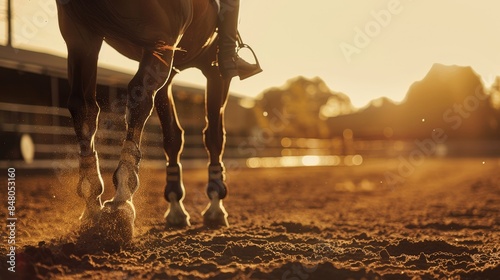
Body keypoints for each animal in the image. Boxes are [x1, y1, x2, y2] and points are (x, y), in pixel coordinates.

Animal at [55, 0, 243, 243]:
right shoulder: (214, 70)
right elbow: (213, 137)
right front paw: (215, 203)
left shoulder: (169, 66)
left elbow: (173, 138)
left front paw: (176, 206)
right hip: (160, 37)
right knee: (139, 98)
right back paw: (121, 201)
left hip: (82, 37)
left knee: (83, 107)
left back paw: (92, 205)